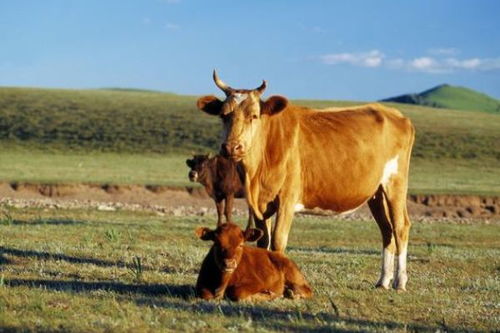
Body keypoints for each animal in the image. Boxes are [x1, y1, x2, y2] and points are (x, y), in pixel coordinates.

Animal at [197, 71, 416, 290]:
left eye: (254, 116)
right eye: (224, 115)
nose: (232, 147)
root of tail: (395, 114)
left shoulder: (287, 199)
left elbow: (278, 241)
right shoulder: (259, 205)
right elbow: (263, 242)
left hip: (395, 183)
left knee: (400, 227)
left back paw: (399, 281)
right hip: (376, 192)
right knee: (386, 230)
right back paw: (383, 281)